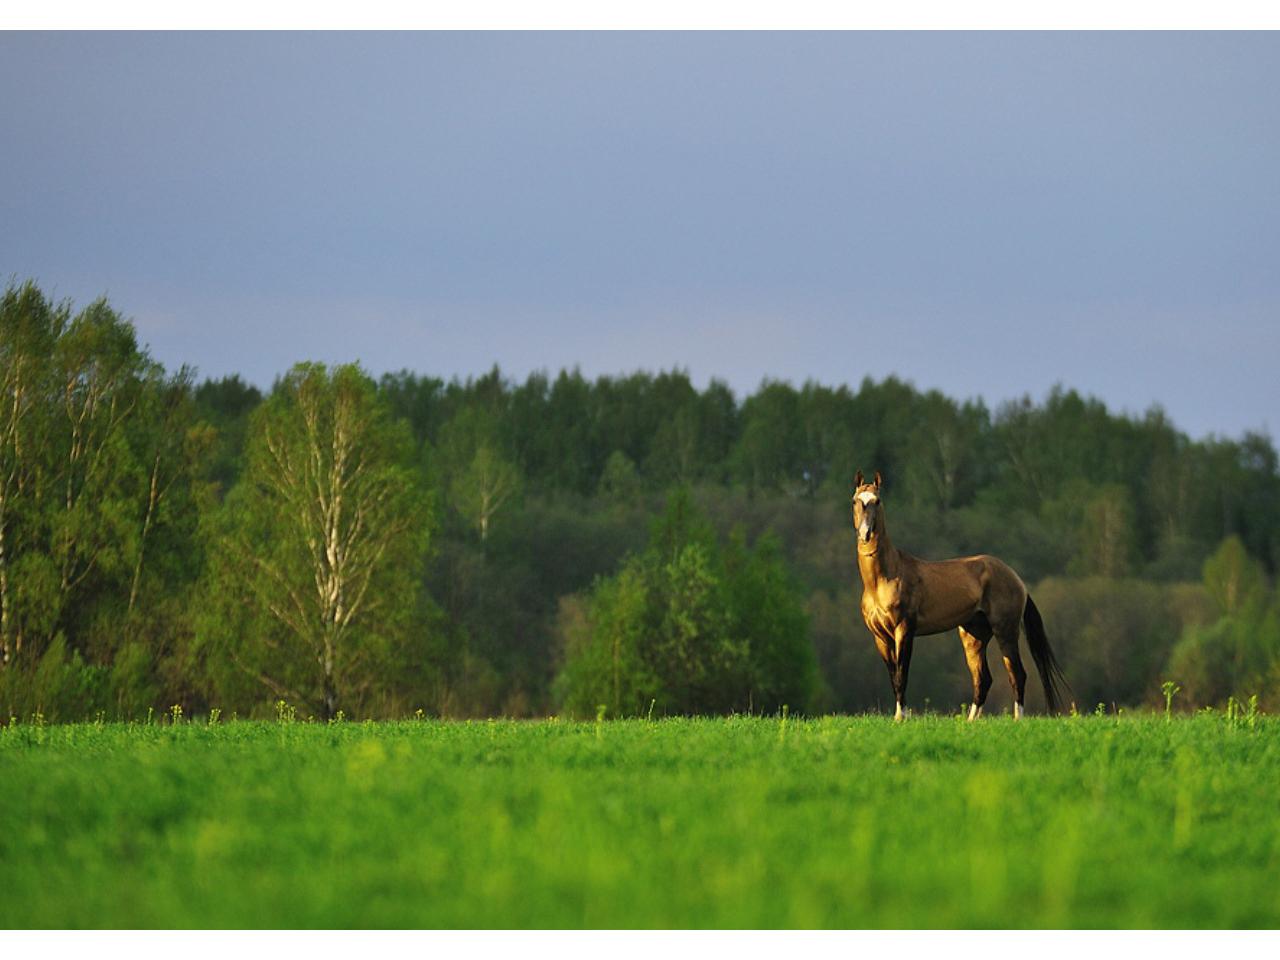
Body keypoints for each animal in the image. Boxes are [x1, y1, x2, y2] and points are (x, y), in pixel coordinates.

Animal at [849, 471, 1070, 716]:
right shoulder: (880, 637)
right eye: (855, 501)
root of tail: (1016, 579)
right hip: (974, 635)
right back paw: (971, 720)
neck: (884, 579)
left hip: (1006, 630)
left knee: (1017, 674)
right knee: (983, 679)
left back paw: (1017, 719)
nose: (865, 534)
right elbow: (893, 676)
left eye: (877, 501)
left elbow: (902, 675)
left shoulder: (904, 630)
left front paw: (901, 717)